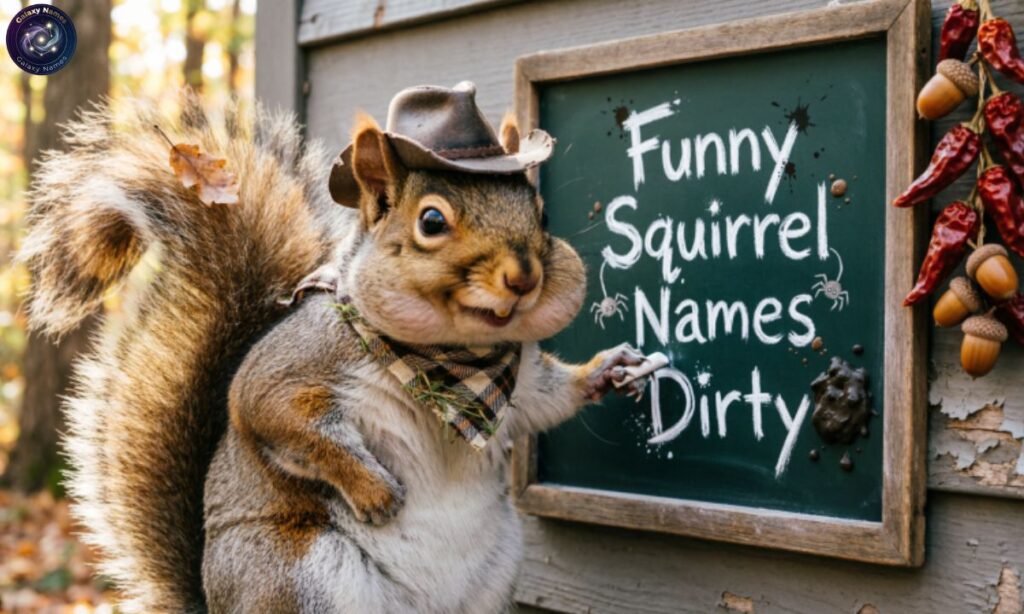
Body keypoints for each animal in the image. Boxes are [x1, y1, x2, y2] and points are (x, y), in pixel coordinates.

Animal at [20, 85, 646, 613]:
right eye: (432, 221)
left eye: (541, 212)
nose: (523, 276)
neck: (451, 364)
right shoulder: (294, 367)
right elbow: (282, 418)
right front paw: (375, 493)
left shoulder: (517, 390)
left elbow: (546, 398)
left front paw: (610, 370)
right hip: (297, 575)